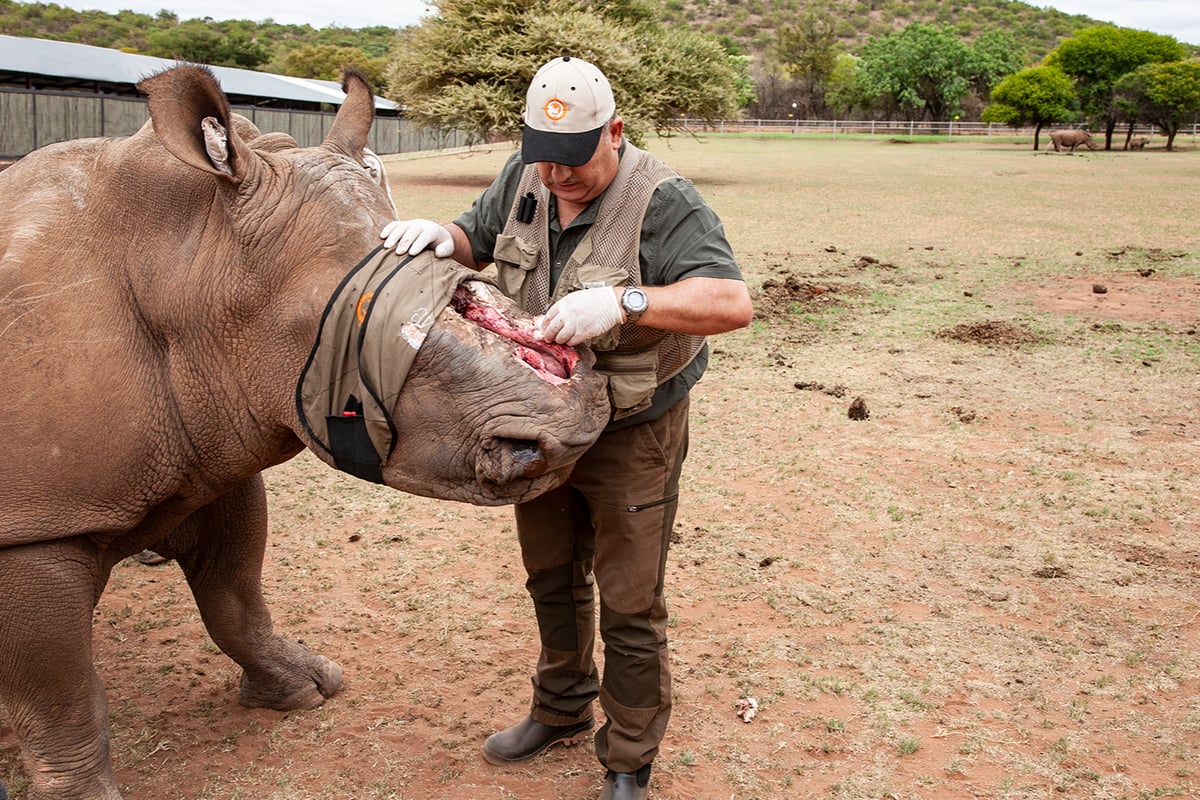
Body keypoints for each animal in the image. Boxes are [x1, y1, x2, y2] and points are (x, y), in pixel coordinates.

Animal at [0, 65, 607, 800]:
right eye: (360, 317)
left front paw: (305, 689)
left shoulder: (214, 437)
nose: (572, 432)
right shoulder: (34, 521)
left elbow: (235, 592)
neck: (189, 257)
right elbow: (59, 692)